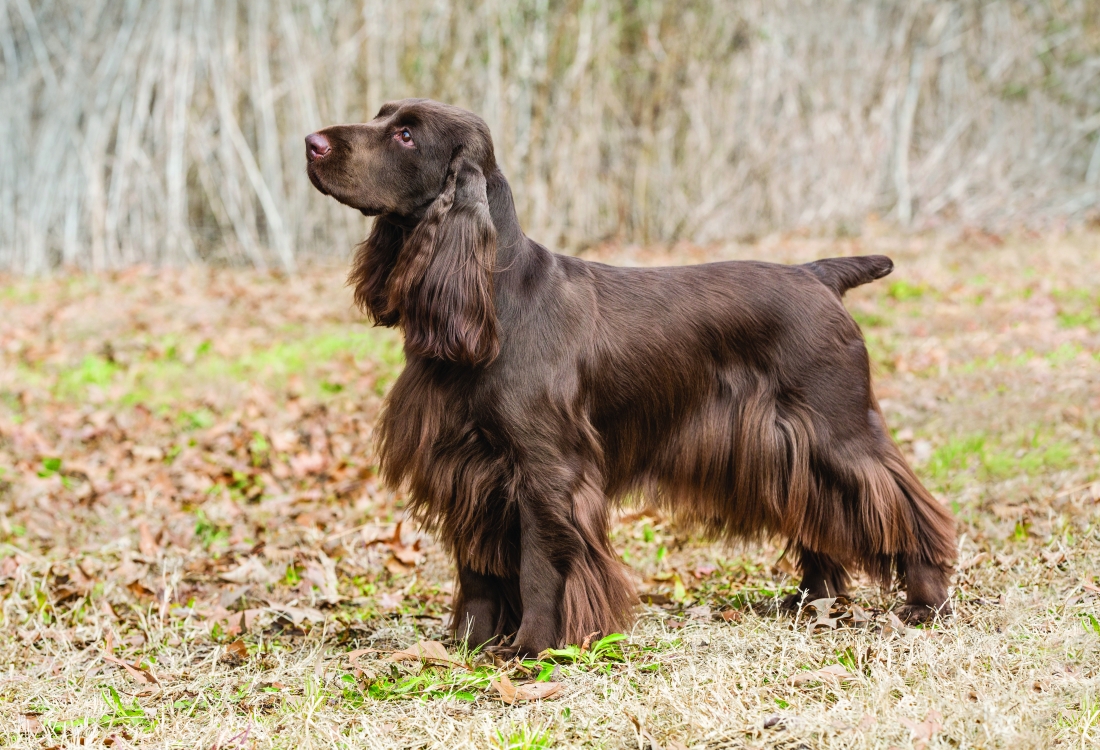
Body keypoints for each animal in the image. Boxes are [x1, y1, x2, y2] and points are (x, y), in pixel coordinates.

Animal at [308, 99, 954, 655]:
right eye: (380, 115)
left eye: (406, 134)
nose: (311, 143)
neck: (496, 297)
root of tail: (817, 274)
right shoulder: (465, 467)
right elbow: (478, 570)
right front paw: (469, 645)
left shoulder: (548, 470)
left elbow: (541, 563)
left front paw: (534, 648)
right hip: (788, 444)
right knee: (816, 508)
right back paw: (810, 602)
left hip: (837, 428)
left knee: (902, 501)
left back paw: (924, 602)